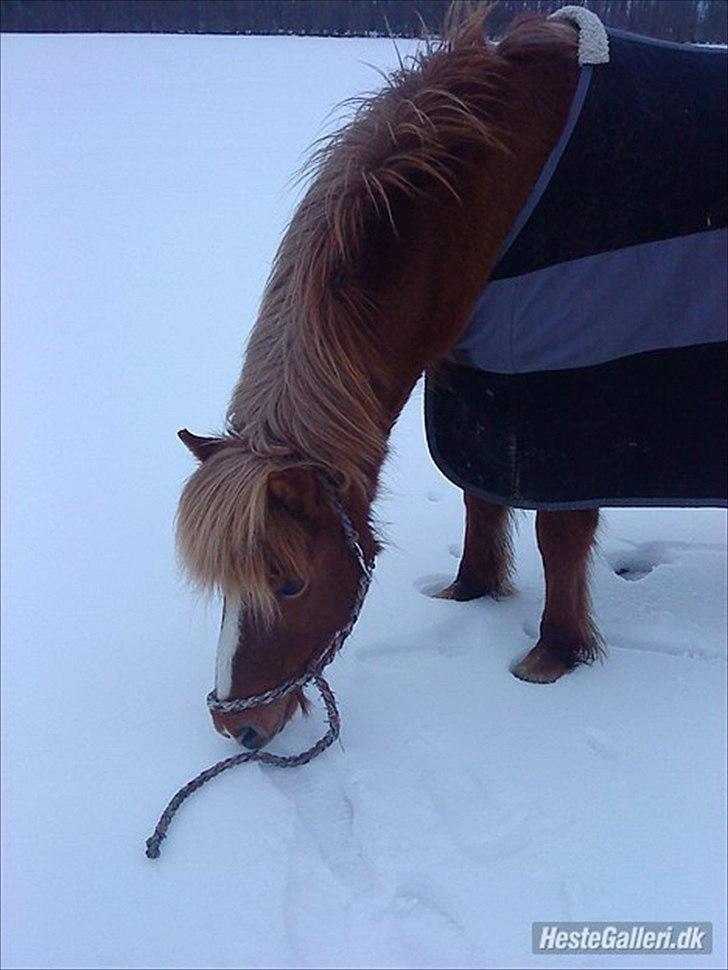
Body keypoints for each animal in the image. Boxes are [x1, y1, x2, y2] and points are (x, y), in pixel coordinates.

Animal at [175, 3, 728, 748]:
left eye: (288, 584)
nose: (238, 727)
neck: (490, 195)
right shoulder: (485, 393)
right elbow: (479, 498)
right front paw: (470, 589)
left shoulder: (562, 405)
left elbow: (558, 535)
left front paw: (553, 653)